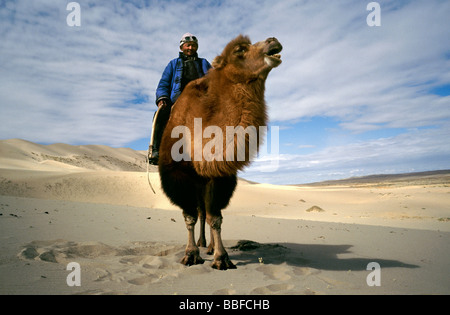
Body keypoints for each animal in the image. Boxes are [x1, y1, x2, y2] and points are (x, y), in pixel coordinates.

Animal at [159, 35, 282, 270]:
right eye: (240, 50)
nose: (273, 41)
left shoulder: (218, 177)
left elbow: (215, 217)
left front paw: (221, 258)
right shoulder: (178, 177)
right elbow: (189, 217)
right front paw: (190, 254)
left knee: (205, 212)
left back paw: (208, 246)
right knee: (199, 212)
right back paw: (200, 245)